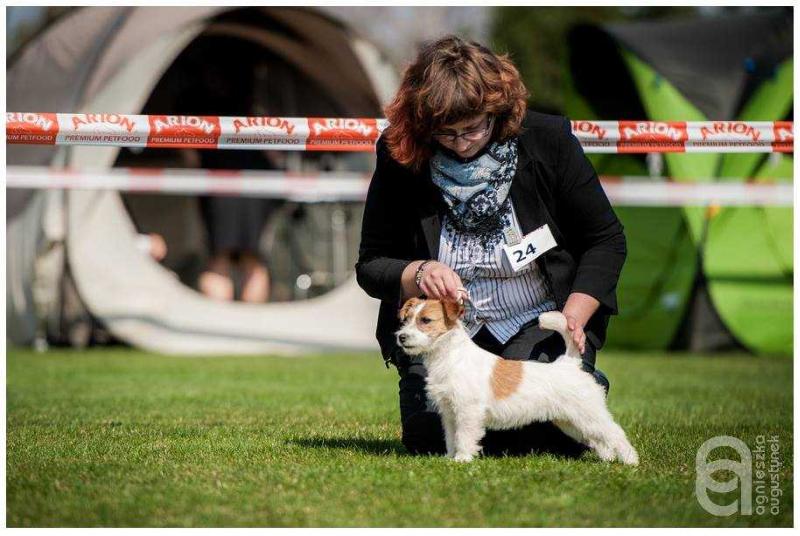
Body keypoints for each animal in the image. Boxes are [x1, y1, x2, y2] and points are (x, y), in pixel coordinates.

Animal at [396, 298, 640, 464]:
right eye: (406, 319)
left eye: (425, 320)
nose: (401, 337)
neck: (451, 356)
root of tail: (568, 363)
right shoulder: (449, 413)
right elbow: (450, 437)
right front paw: (449, 458)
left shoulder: (467, 412)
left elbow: (464, 437)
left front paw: (462, 459)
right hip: (571, 421)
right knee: (597, 439)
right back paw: (607, 459)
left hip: (589, 414)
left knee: (615, 433)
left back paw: (630, 461)